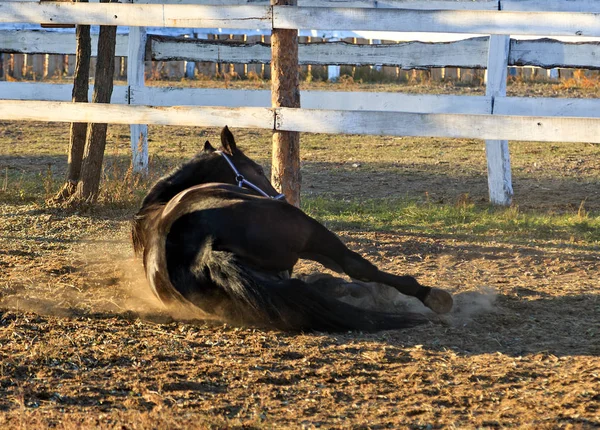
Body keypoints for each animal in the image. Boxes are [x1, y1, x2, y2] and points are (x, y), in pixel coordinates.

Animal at [130, 126, 450, 330]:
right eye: (258, 169)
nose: (279, 196)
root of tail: (204, 248)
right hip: (312, 233)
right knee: (356, 265)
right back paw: (430, 297)